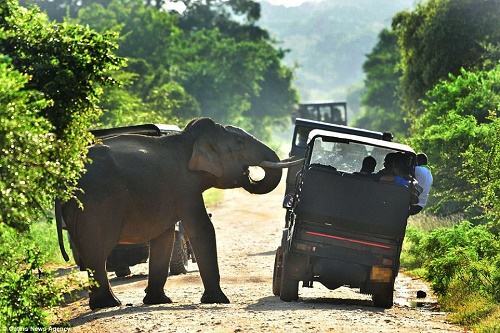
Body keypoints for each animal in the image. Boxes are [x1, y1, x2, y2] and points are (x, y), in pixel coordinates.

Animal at [56, 116, 302, 308]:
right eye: (240, 143)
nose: (249, 173)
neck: (187, 139)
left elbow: (164, 237)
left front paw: (158, 301)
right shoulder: (184, 186)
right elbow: (202, 228)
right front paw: (219, 300)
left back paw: (102, 304)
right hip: (96, 203)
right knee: (98, 249)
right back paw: (109, 304)